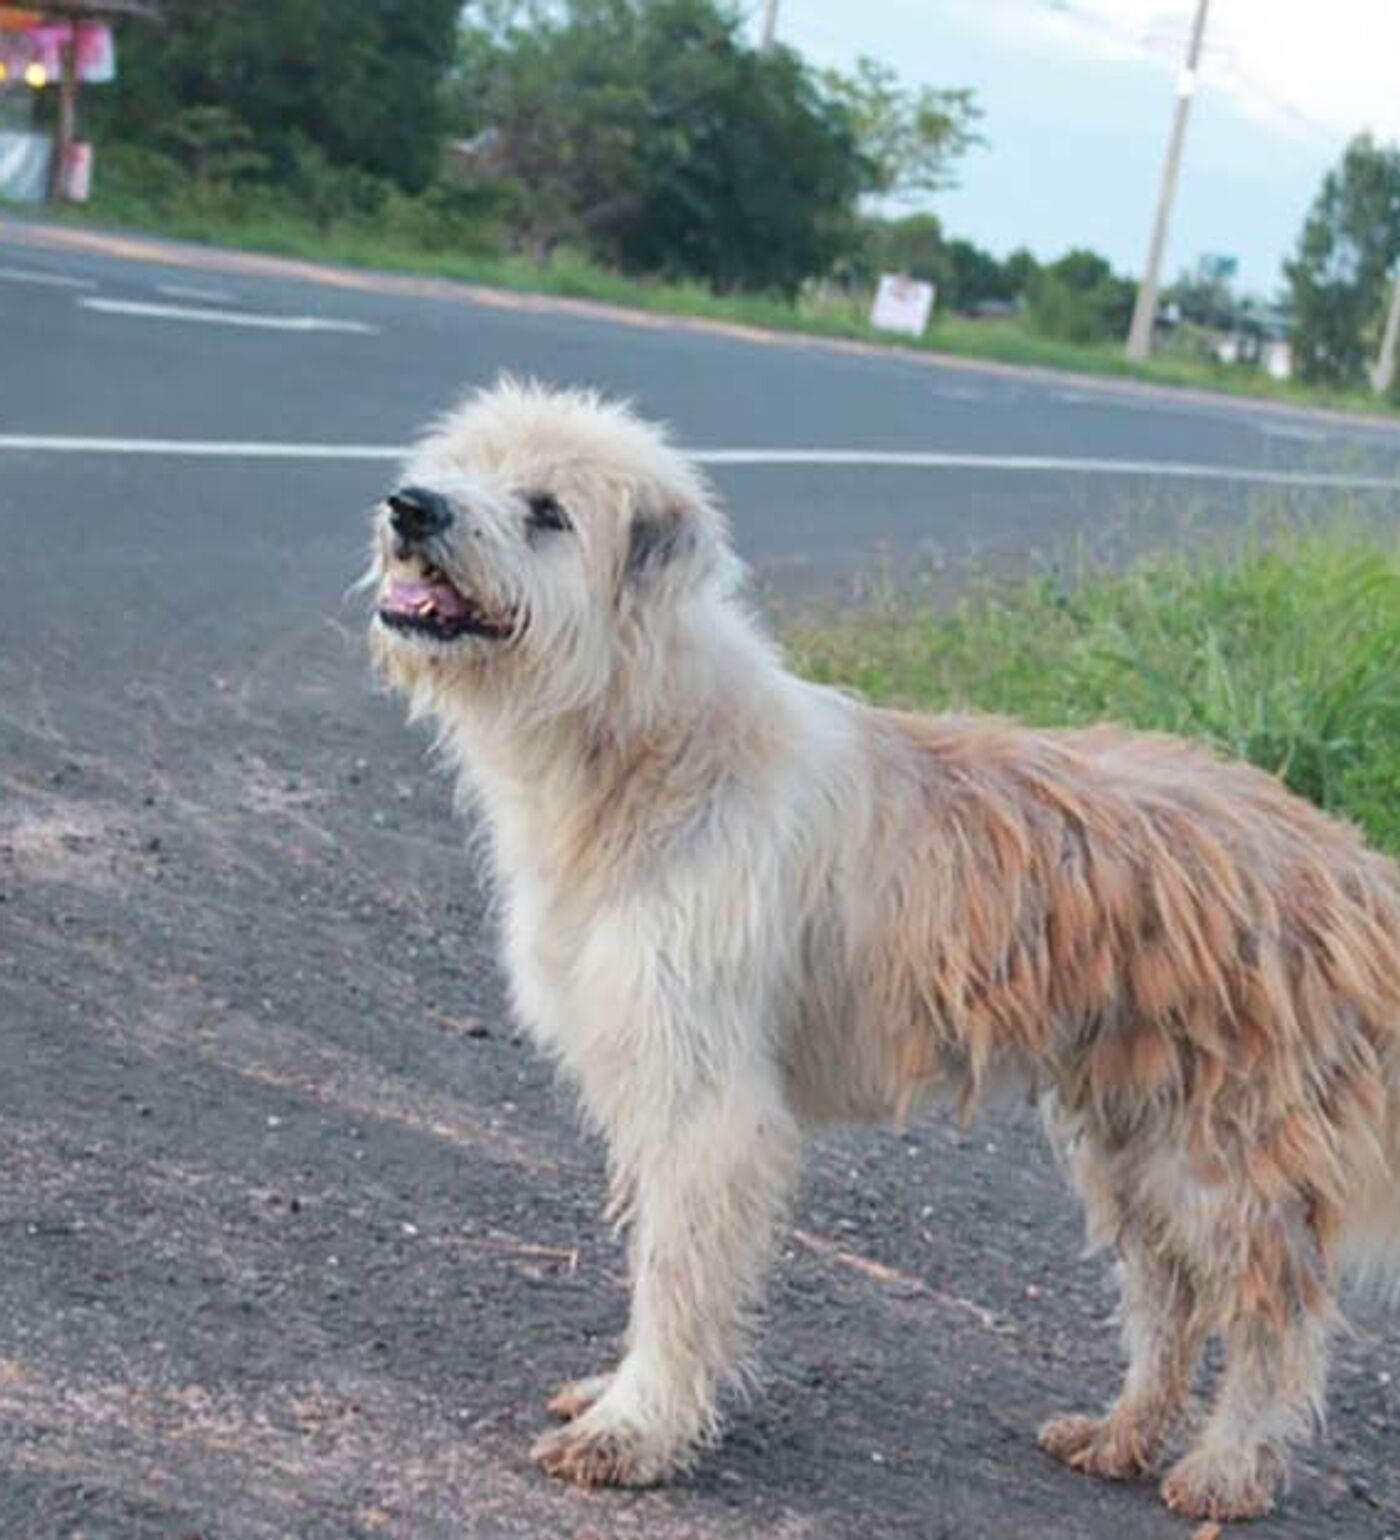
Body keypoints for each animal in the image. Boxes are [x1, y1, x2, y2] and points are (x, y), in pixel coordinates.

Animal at [368, 381, 1398, 1515]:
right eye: (460, 466)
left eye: (546, 510)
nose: (410, 506)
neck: (650, 744)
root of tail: (1352, 865)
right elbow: (655, 1254)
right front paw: (623, 1394)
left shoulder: (708, 1102)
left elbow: (677, 1273)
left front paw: (636, 1427)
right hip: (1133, 1140)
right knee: (1169, 1300)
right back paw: (1121, 1433)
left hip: (1223, 1160)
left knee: (1270, 1318)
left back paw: (1223, 1466)